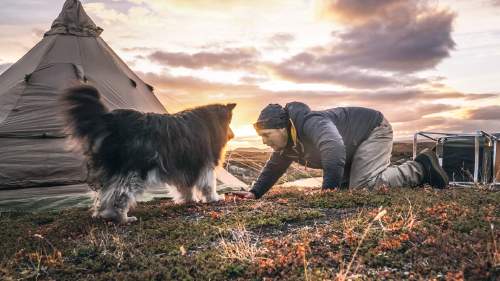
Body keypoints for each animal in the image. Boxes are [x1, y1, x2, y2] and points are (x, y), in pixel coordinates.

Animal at [60, 84, 236, 222]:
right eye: (230, 123)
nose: (233, 135)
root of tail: (110, 120)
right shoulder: (205, 163)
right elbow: (208, 184)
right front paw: (214, 198)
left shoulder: (183, 165)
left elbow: (185, 186)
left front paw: (188, 200)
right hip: (134, 170)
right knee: (119, 193)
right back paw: (121, 217)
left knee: (104, 193)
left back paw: (104, 214)